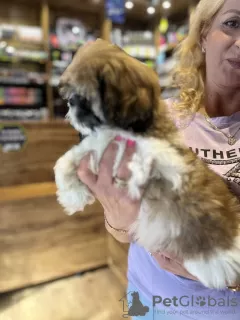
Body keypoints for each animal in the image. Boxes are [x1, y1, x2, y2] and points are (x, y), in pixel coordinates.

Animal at [54, 38, 240, 288]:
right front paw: (72, 195)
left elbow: (196, 204)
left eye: (83, 97)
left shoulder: (174, 164)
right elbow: (71, 159)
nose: (71, 105)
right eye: (71, 97)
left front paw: (215, 256)